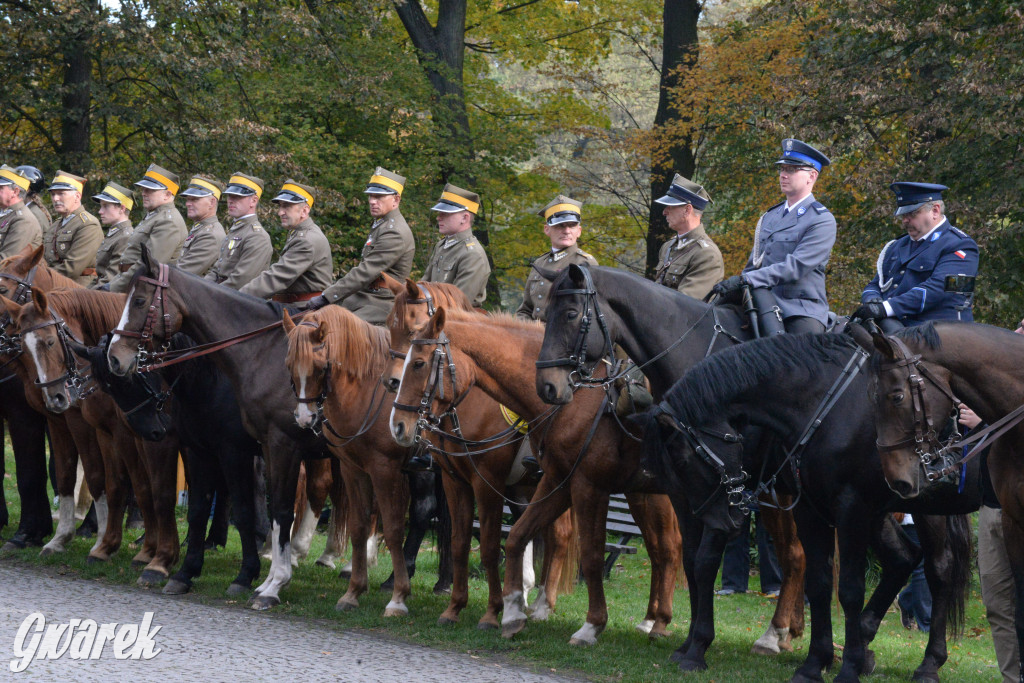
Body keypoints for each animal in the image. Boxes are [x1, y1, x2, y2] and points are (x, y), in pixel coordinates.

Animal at [391, 307, 688, 651]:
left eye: (419, 362)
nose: (398, 425)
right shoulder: (463, 482)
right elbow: (470, 542)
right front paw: (463, 609)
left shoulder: (496, 481)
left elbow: (496, 545)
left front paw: (494, 613)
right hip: (637, 492)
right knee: (652, 548)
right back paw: (645, 618)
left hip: (652, 495)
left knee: (667, 547)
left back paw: (657, 621)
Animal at [536, 264, 806, 663]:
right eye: (544, 314)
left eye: (570, 314)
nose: (547, 387)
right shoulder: (681, 492)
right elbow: (691, 560)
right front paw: (688, 638)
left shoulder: (721, 490)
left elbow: (701, 559)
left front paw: (696, 644)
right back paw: (790, 633)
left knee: (795, 557)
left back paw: (774, 635)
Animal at [638, 327, 974, 679]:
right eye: (673, 465)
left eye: (684, 459)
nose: (726, 522)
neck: (824, 406)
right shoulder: (809, 507)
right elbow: (818, 583)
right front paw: (816, 662)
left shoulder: (849, 506)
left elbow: (847, 589)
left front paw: (697, 647)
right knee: (903, 558)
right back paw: (863, 641)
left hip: (924, 510)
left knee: (938, 570)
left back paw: (927, 662)